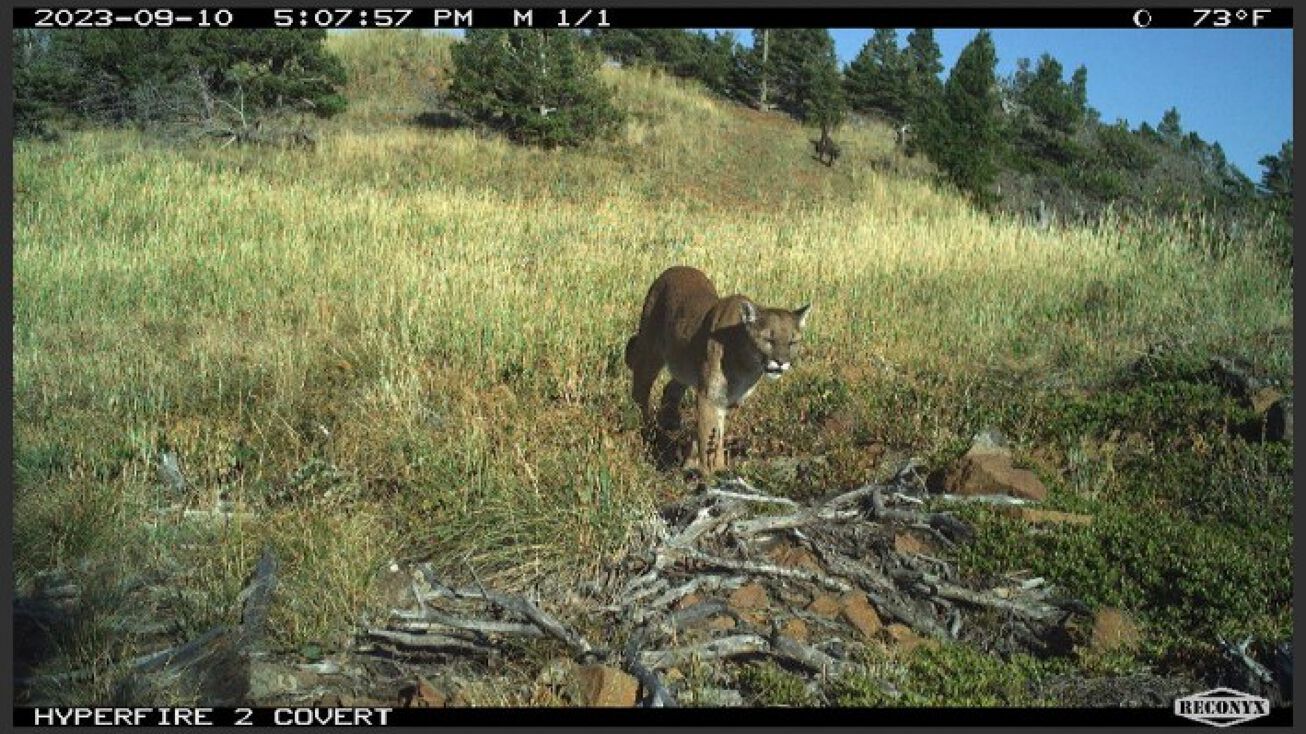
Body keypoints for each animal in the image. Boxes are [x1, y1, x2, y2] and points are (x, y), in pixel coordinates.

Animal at [626, 263, 809, 475]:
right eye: (768, 339)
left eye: (792, 342)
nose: (781, 361)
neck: (747, 365)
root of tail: (677, 267)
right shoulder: (710, 395)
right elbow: (709, 436)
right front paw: (713, 472)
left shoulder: (727, 400)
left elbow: (713, 435)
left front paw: (698, 464)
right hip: (650, 352)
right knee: (640, 392)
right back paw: (647, 429)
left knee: (671, 386)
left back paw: (669, 421)